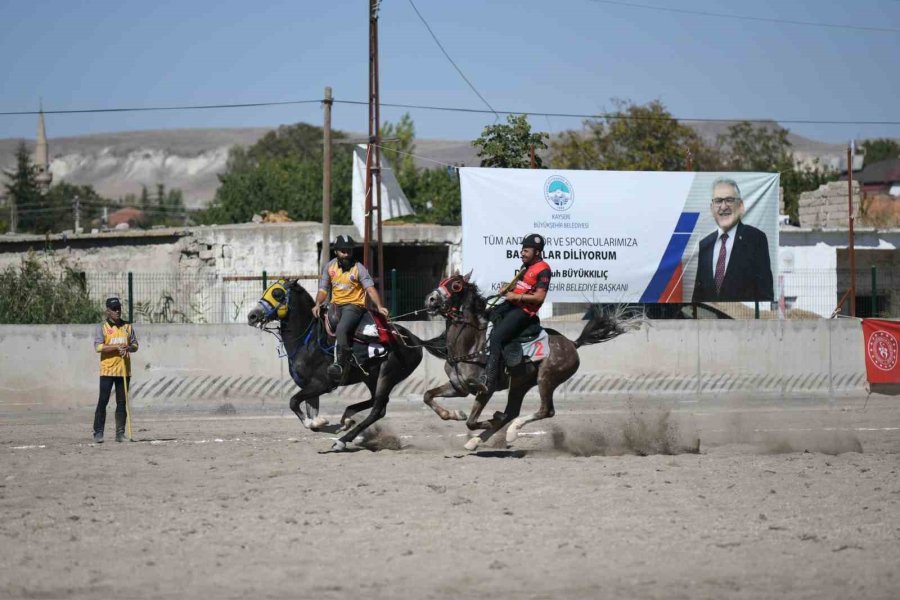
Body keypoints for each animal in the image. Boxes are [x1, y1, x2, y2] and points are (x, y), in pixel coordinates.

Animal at [248, 278, 424, 452]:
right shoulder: (310, 388)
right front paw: (320, 422)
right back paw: (348, 418)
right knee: (377, 404)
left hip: (387, 376)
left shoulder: (321, 384)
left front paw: (316, 422)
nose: (252, 316)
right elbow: (310, 414)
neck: (309, 341)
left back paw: (342, 440)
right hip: (371, 378)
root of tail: (415, 339)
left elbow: (293, 401)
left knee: (377, 409)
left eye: (277, 293)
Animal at [424, 272, 628, 450]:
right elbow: (428, 395)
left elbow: (472, 422)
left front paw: (481, 419)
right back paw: (477, 441)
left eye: (456, 285)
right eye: (443, 281)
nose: (431, 299)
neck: (471, 343)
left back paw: (512, 431)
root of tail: (572, 343)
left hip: (546, 379)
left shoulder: (485, 389)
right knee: (512, 412)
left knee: (545, 411)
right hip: (520, 384)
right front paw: (454, 414)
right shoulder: (459, 387)